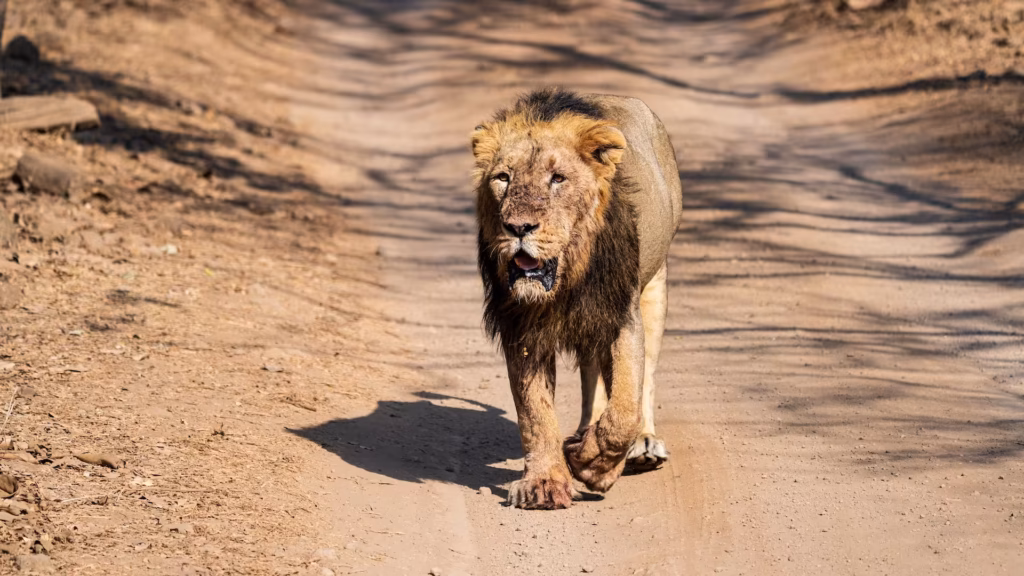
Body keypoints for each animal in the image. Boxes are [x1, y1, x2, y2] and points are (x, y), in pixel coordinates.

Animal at [472, 88, 682, 509]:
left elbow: (624, 409)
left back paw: (643, 445)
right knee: (591, 375)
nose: (518, 227)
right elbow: (534, 413)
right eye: (503, 178)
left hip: (655, 285)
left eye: (558, 179)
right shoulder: (521, 325)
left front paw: (595, 466)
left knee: (646, 374)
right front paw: (544, 482)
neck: (567, 276)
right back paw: (585, 433)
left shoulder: (621, 312)